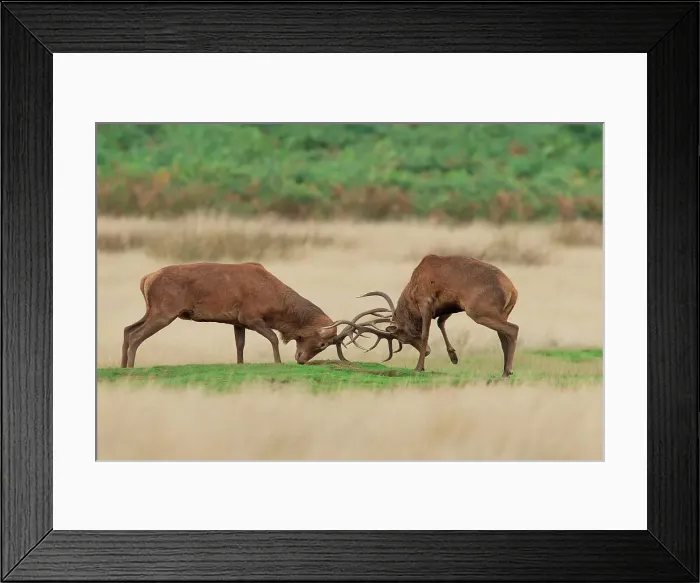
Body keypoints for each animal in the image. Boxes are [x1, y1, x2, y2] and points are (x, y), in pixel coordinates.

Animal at [120, 261, 385, 368]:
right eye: (321, 343)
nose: (300, 360)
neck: (277, 305)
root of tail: (146, 279)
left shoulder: (236, 321)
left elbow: (240, 345)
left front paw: (240, 364)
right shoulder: (251, 316)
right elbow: (273, 338)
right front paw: (278, 362)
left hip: (152, 309)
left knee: (127, 329)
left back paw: (122, 365)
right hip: (165, 311)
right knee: (136, 335)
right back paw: (131, 366)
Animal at [325, 254, 519, 376]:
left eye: (402, 338)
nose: (427, 352)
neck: (411, 292)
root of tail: (512, 290)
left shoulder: (425, 301)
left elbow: (426, 333)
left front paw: (419, 367)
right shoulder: (449, 306)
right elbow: (441, 323)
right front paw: (453, 356)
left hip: (478, 310)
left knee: (513, 329)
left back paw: (507, 371)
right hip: (501, 312)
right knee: (503, 335)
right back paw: (504, 370)